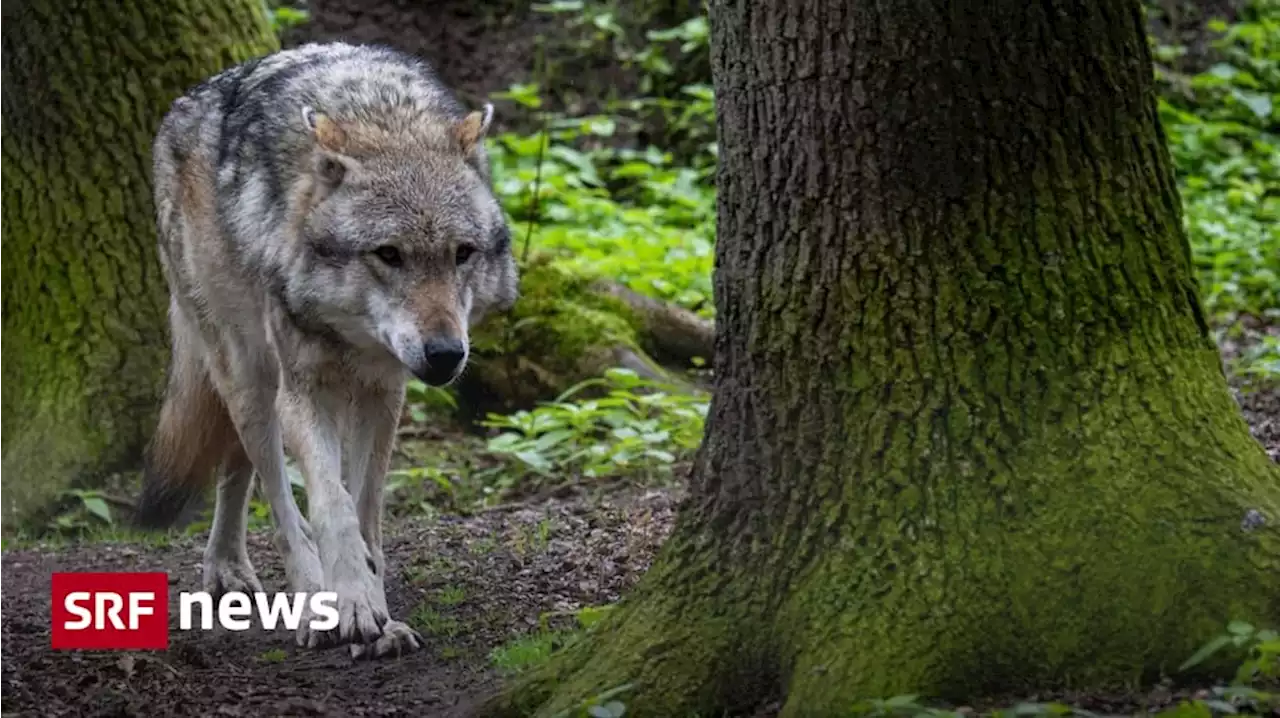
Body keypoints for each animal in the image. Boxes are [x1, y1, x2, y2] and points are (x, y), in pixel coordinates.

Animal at [136, 40, 519, 655]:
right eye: (389, 254)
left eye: (463, 253)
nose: (444, 354)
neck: (382, 118)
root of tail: (182, 105)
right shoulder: (305, 391)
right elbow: (331, 506)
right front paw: (353, 604)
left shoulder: (383, 394)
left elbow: (364, 509)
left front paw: (378, 607)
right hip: (251, 380)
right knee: (276, 495)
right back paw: (307, 599)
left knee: (238, 470)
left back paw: (232, 566)